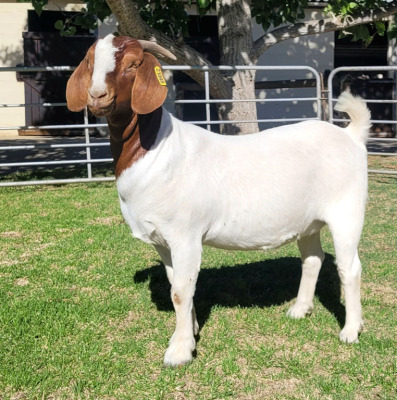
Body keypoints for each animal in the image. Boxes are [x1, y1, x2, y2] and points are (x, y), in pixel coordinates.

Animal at [65, 33, 372, 366]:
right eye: (90, 61)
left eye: (134, 64)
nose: (97, 95)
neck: (157, 148)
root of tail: (351, 135)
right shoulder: (163, 240)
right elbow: (176, 284)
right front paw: (191, 328)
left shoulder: (184, 235)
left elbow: (180, 291)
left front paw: (180, 350)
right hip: (308, 221)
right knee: (313, 259)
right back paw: (300, 309)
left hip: (347, 211)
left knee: (350, 267)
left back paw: (351, 330)